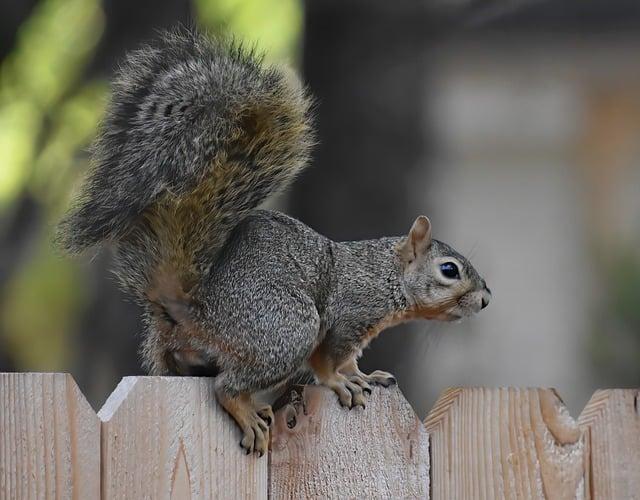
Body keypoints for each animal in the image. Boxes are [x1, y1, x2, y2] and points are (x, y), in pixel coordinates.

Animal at [57, 27, 492, 458]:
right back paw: (246, 411)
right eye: (449, 270)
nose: (486, 299)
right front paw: (339, 383)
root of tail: (196, 312)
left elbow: (351, 362)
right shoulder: (348, 314)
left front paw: (366, 375)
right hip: (286, 326)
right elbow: (328, 362)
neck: (384, 274)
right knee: (226, 386)